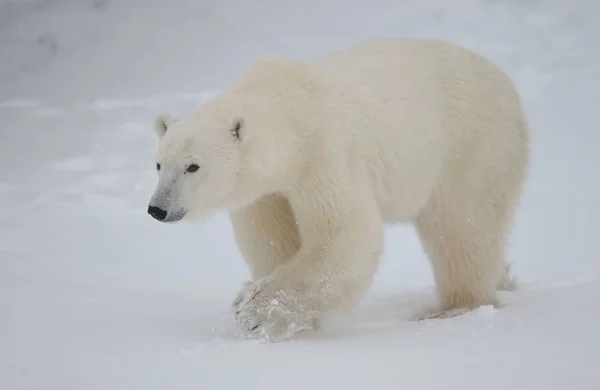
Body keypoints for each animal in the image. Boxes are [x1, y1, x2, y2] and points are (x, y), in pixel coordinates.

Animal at [148, 37, 528, 342]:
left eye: (193, 166)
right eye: (159, 164)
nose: (157, 208)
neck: (288, 107)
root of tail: (506, 82)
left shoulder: (323, 152)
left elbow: (345, 232)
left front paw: (256, 309)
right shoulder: (265, 192)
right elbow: (273, 241)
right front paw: (290, 318)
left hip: (471, 147)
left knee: (463, 228)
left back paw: (452, 307)